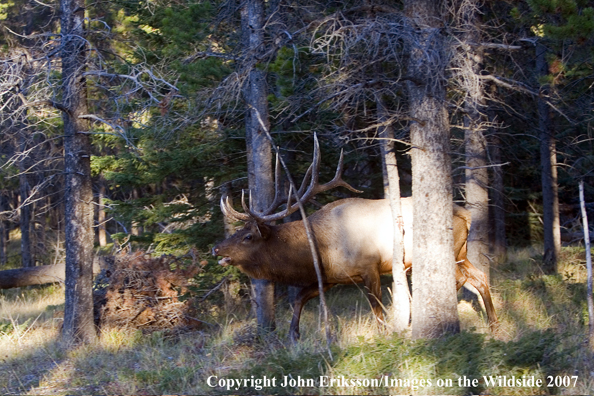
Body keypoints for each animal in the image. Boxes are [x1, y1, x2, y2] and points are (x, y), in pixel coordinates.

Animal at [212, 141, 494, 342]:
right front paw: (294, 335)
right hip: (462, 252)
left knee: (460, 278)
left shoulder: (370, 267)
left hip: (449, 251)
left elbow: (377, 309)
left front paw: (385, 337)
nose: (216, 248)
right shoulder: (331, 277)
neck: (320, 250)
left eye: (248, 236)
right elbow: (299, 298)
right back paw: (493, 323)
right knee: (480, 276)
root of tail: (466, 212)